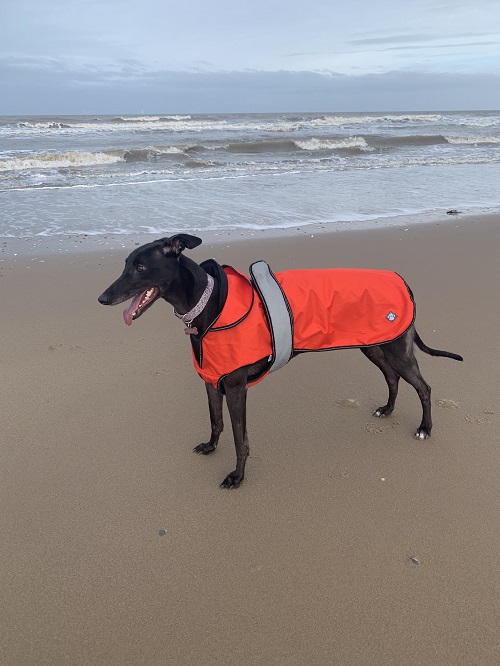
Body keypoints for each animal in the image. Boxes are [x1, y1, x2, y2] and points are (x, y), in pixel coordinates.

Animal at [99, 233, 462, 488]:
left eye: (140, 267)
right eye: (125, 264)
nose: (102, 298)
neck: (209, 303)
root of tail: (405, 283)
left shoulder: (236, 387)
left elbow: (240, 439)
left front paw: (237, 476)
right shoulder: (211, 381)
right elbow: (216, 423)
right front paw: (211, 446)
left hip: (398, 349)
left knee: (424, 387)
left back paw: (425, 428)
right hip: (374, 346)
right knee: (391, 377)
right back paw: (387, 409)